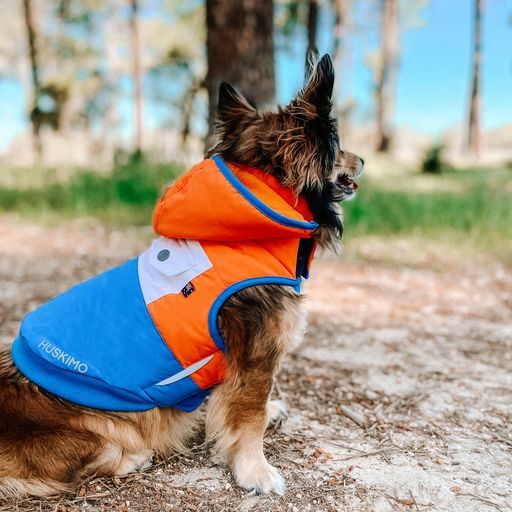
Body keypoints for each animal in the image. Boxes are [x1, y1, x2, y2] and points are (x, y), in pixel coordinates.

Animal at [0, 52, 362, 496]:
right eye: (339, 148)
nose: (363, 160)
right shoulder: (257, 356)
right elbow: (250, 416)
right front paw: (255, 471)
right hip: (101, 425)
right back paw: (135, 458)